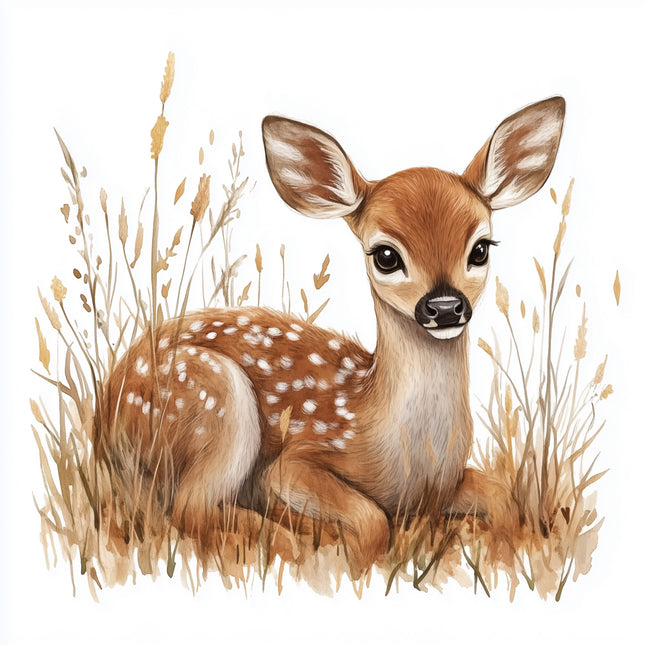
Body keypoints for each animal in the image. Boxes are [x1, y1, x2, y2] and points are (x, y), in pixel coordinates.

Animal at [99, 97, 565, 574]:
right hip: (215, 399)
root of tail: (103, 418)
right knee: (190, 509)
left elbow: (505, 502)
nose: (445, 307)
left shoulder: (445, 485)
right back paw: (289, 536)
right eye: (385, 255)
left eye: (480, 249)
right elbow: (372, 520)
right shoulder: (296, 460)